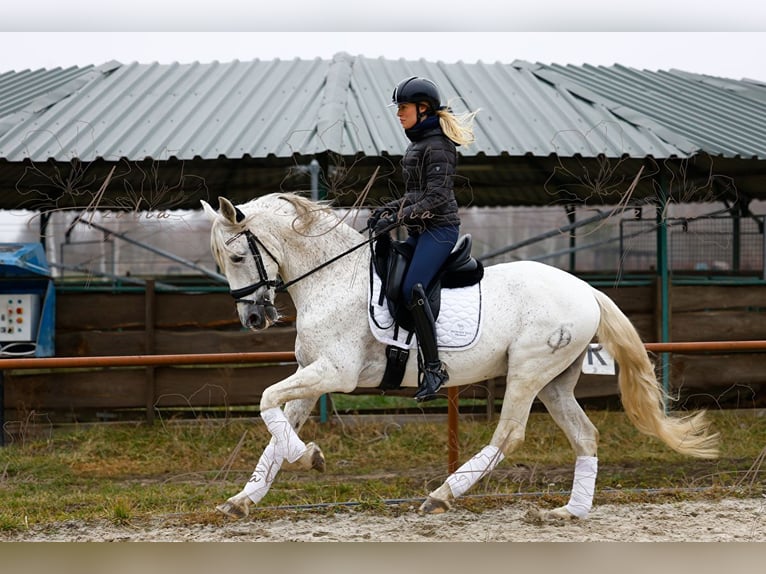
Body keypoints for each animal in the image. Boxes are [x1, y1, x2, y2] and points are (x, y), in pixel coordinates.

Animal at [202, 192, 720, 520]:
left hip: (528, 371)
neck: (332, 278)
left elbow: (266, 402)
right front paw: (243, 499)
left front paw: (310, 457)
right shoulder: (312, 374)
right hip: (554, 381)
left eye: (237, 257)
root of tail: (587, 290)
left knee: (509, 434)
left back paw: (442, 495)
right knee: (585, 434)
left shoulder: (335, 372)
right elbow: (275, 425)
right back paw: (572, 511)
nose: (253, 318)